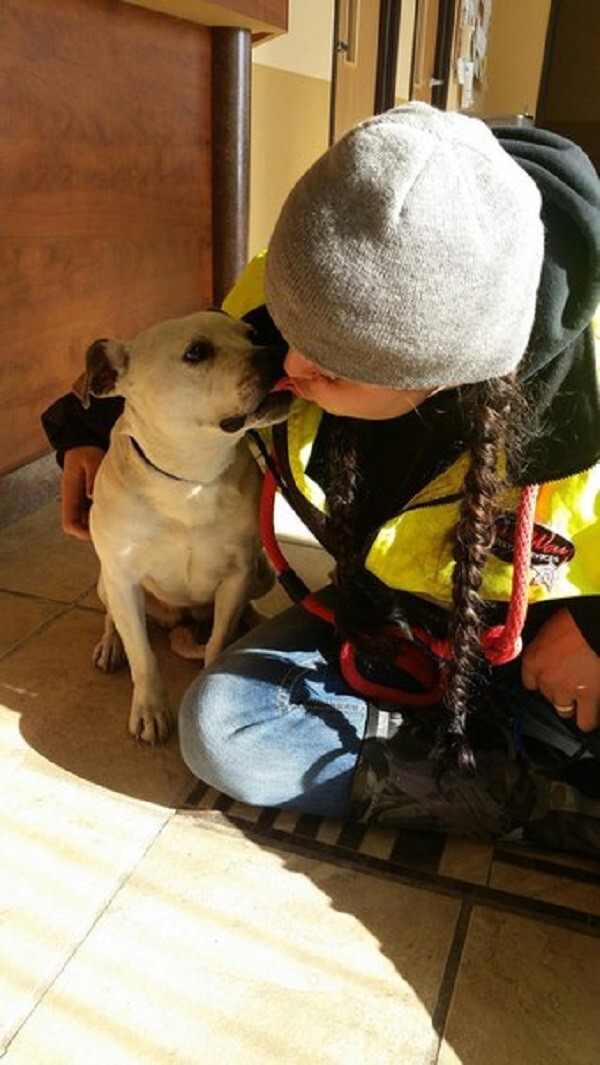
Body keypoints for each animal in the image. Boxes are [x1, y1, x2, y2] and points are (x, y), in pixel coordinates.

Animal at [80, 308, 294, 741]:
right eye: (196, 352)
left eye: (252, 334)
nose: (278, 351)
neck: (191, 478)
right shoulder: (122, 578)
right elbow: (142, 654)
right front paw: (149, 709)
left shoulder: (238, 573)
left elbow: (219, 640)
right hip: (106, 583)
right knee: (113, 619)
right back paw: (111, 645)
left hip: (263, 571)